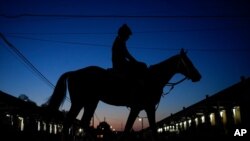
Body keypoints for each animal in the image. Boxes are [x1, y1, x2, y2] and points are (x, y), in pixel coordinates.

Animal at [44, 48, 201, 140]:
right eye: (187, 61)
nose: (198, 76)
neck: (151, 79)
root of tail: (73, 72)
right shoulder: (143, 107)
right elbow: (141, 128)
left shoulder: (143, 108)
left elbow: (136, 127)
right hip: (80, 102)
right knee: (70, 122)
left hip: (90, 102)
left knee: (81, 122)